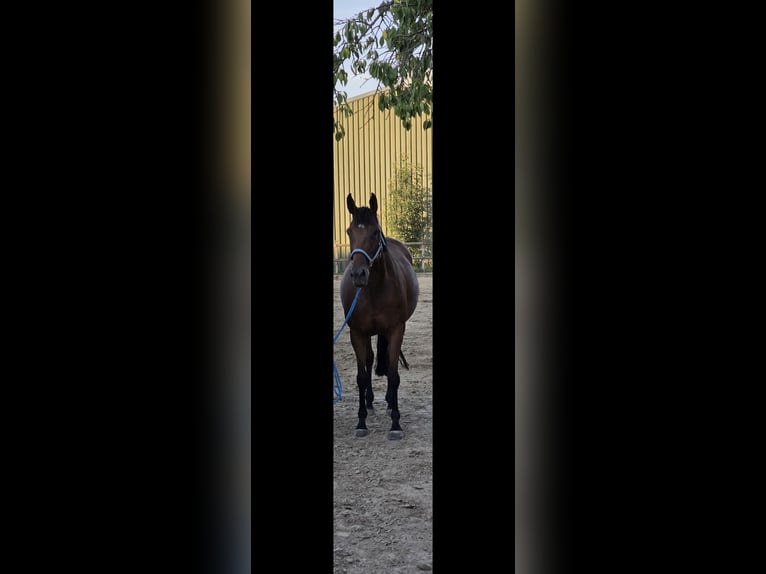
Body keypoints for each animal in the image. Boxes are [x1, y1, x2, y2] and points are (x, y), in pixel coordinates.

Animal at [340, 193, 419, 440]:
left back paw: (388, 402)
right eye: (349, 231)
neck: (373, 290)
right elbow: (361, 376)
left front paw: (395, 423)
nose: (358, 274)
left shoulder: (395, 330)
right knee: (368, 360)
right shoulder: (356, 332)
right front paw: (361, 422)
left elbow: (393, 375)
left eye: (375, 232)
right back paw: (370, 403)